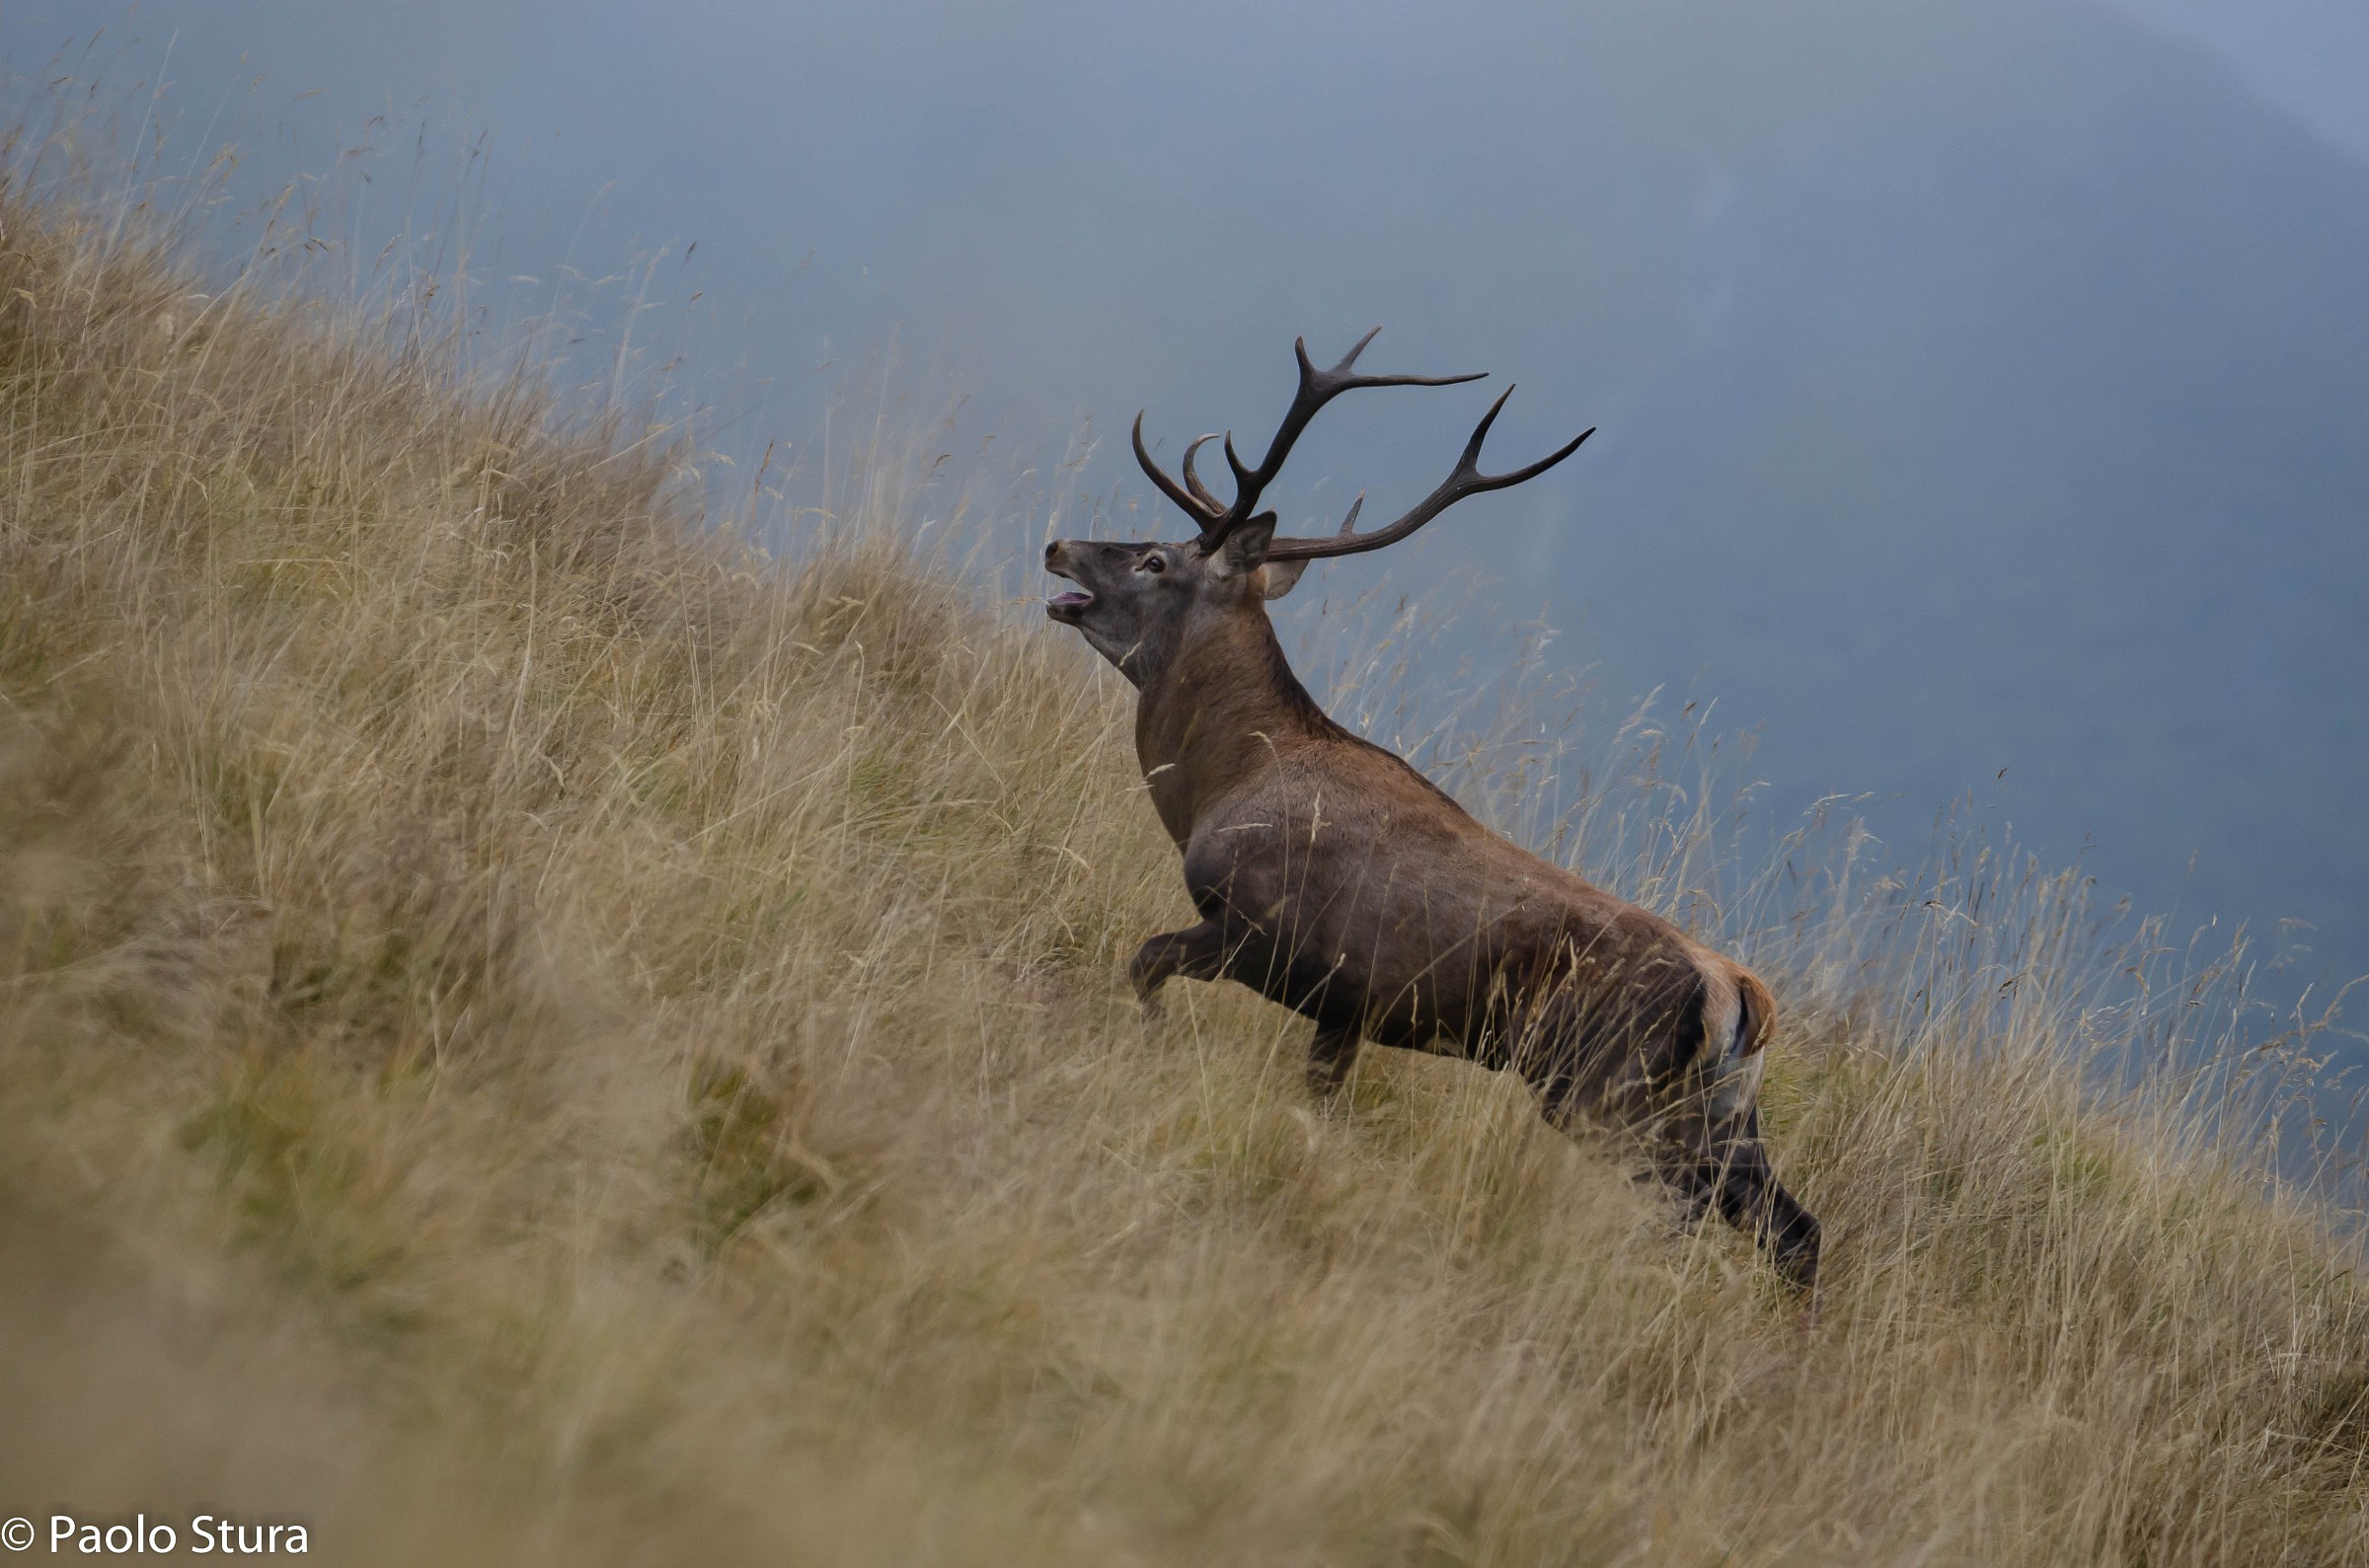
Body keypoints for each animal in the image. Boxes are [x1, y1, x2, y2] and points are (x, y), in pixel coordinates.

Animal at [1043, 329, 1819, 1288]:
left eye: (1155, 558)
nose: (1058, 546)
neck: (1223, 782)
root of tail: (1739, 990)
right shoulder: (1348, 1009)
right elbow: (1319, 1099)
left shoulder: (1267, 935)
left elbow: (1143, 961)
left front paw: (1145, 1046)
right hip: (1716, 1104)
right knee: (1790, 1223)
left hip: (1601, 1084)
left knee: (1692, 1205)